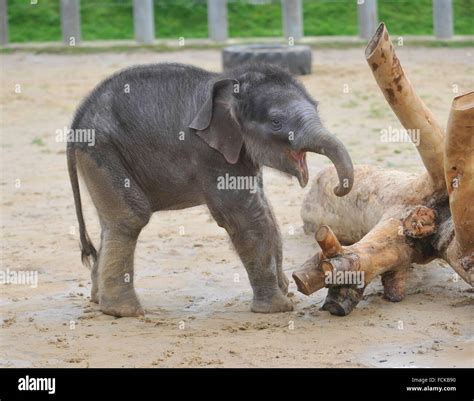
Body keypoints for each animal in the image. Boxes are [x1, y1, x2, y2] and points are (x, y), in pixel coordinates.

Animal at [68, 62, 354, 316]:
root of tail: (77, 120)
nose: (338, 188)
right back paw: (124, 312)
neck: (232, 83)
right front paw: (278, 308)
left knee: (112, 222)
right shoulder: (209, 153)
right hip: (102, 152)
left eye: (316, 107)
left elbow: (264, 210)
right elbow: (246, 217)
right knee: (130, 218)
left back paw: (99, 301)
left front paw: (287, 292)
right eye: (276, 122)